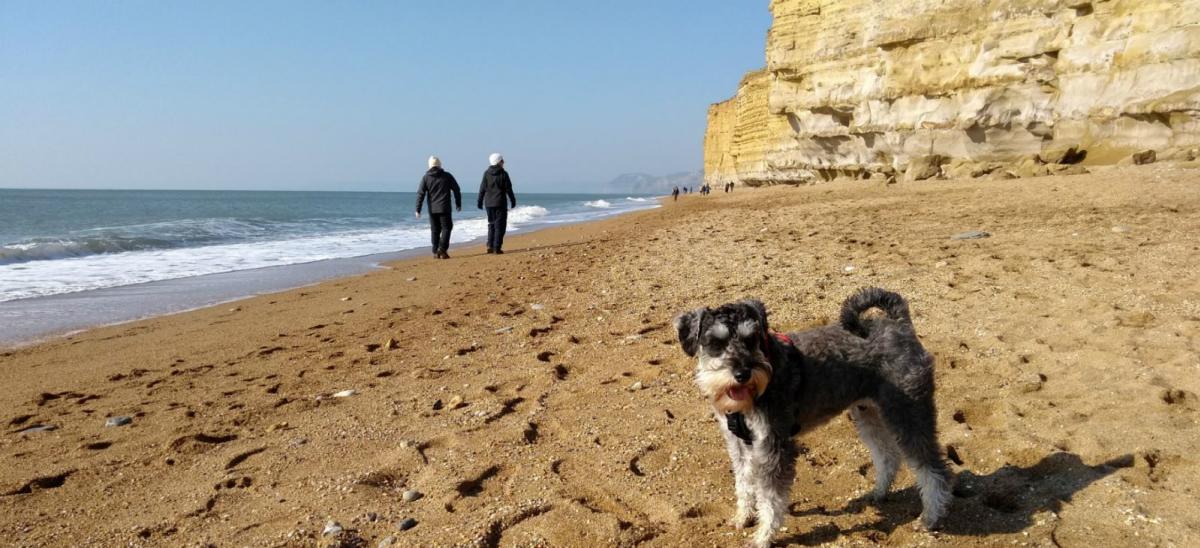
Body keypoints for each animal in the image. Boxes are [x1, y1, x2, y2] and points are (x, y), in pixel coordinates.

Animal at [676, 287, 945, 544]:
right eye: (716, 342)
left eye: (751, 339)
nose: (742, 373)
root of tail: (900, 324)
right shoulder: (739, 443)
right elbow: (744, 482)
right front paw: (743, 516)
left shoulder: (773, 444)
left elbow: (771, 497)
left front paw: (764, 535)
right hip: (868, 414)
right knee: (887, 455)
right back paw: (878, 493)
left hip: (908, 412)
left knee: (933, 468)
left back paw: (930, 517)